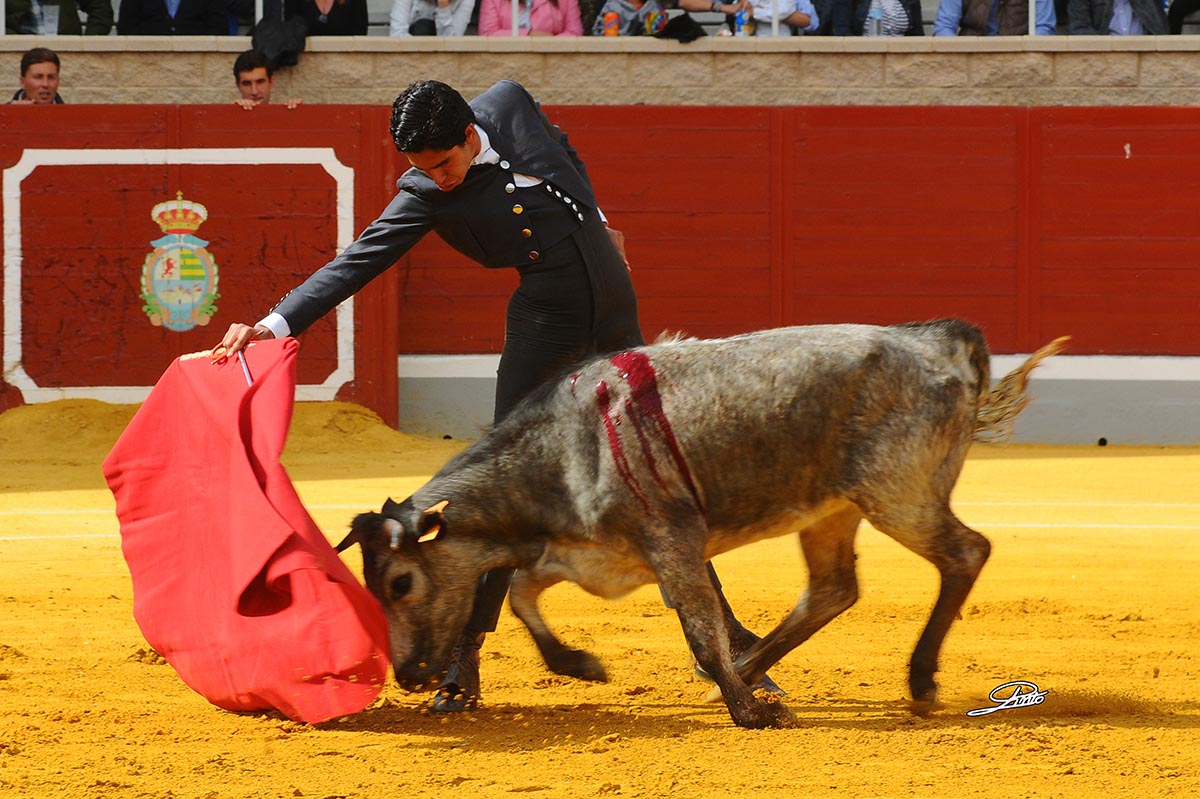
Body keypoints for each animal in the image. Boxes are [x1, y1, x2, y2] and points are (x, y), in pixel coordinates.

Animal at [333, 321, 1065, 724]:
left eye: (400, 582)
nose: (409, 675)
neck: (562, 450)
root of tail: (934, 340)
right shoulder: (584, 556)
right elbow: (519, 596)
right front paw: (580, 663)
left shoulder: (671, 544)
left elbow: (699, 626)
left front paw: (751, 715)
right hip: (832, 510)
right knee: (833, 589)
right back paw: (749, 671)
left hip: (899, 493)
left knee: (964, 553)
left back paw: (915, 678)